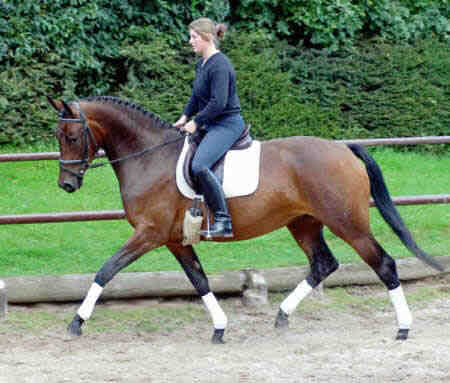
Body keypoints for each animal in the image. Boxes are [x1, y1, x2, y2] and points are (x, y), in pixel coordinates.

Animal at [47, 96, 442, 344]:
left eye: (72, 136)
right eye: (59, 136)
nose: (66, 184)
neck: (148, 157)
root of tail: (342, 148)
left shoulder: (149, 234)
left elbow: (106, 271)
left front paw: (76, 322)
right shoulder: (175, 239)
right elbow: (199, 280)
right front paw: (220, 328)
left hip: (348, 223)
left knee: (384, 263)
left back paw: (403, 329)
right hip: (303, 222)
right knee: (323, 264)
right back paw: (282, 316)